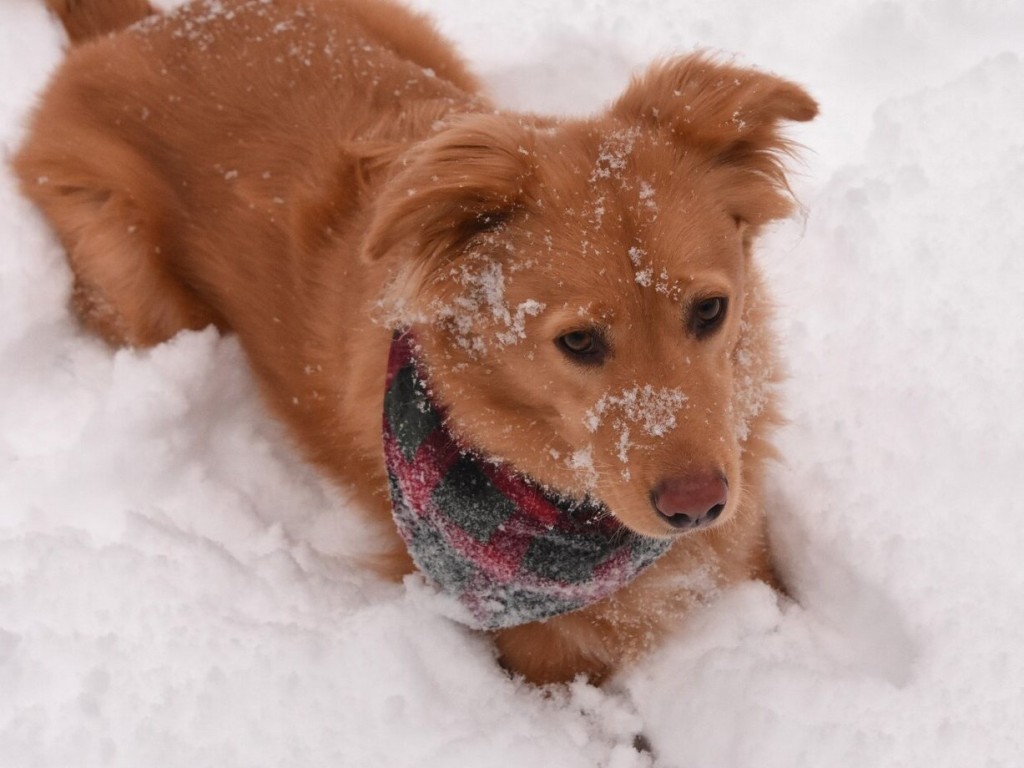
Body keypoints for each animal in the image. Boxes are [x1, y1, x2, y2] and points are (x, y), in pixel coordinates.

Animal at [14, 0, 815, 684]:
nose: (698, 505)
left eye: (710, 310)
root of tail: (147, 26)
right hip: (130, 271)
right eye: (580, 341)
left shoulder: (745, 545)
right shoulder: (531, 651)